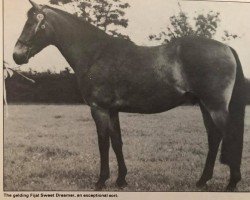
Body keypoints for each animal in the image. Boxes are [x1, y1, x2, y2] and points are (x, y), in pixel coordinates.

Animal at [12, 0, 245, 191]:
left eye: (33, 23)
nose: (17, 55)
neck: (96, 53)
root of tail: (226, 47)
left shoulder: (99, 109)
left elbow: (103, 142)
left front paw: (101, 181)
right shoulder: (113, 110)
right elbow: (117, 142)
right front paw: (121, 180)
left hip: (215, 107)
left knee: (229, 135)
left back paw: (232, 183)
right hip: (205, 106)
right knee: (214, 137)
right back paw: (202, 181)